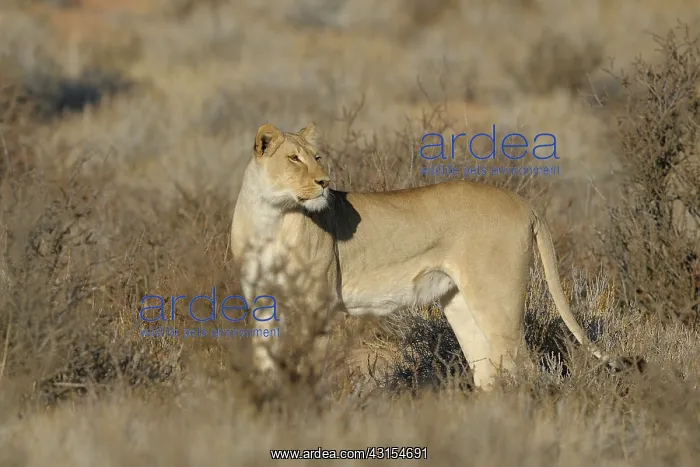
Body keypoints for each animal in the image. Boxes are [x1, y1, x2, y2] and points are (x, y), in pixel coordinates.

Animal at [230, 122, 635, 390]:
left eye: (316, 157)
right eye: (294, 158)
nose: (324, 182)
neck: (271, 217)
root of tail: (521, 200)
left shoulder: (316, 301)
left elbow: (309, 365)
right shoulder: (263, 301)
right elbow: (265, 359)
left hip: (497, 297)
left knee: (524, 366)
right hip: (460, 300)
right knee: (488, 369)